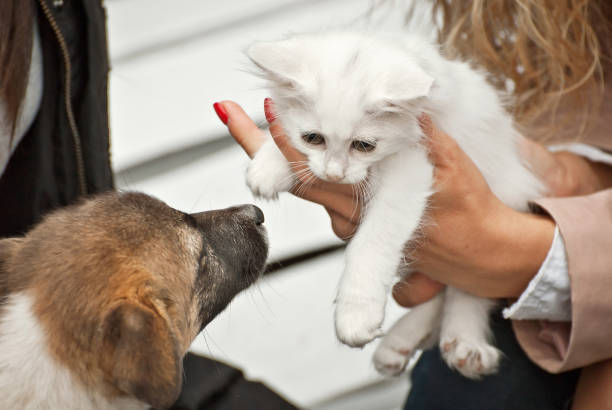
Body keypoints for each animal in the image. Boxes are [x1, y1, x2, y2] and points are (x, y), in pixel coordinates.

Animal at [246, 30, 544, 380]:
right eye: (313, 138)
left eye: (364, 146)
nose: (334, 174)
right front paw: (268, 164)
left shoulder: (413, 168)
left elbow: (371, 243)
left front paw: (355, 313)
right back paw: (400, 342)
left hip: (502, 203)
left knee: (468, 288)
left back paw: (463, 342)